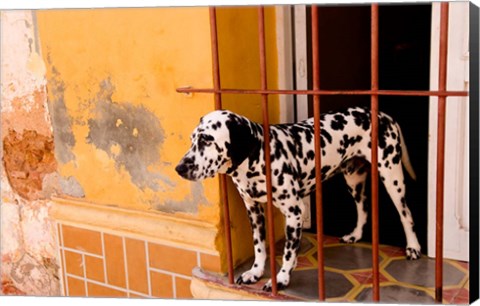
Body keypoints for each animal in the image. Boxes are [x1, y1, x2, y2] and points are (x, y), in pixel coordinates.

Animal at [175, 107, 420, 292]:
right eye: (192, 139)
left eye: (207, 140)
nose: (179, 168)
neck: (260, 158)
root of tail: (383, 115)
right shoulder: (254, 211)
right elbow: (259, 247)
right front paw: (255, 272)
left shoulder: (294, 212)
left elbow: (288, 251)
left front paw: (282, 278)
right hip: (354, 179)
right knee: (364, 208)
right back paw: (356, 234)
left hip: (392, 177)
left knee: (406, 214)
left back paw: (413, 248)